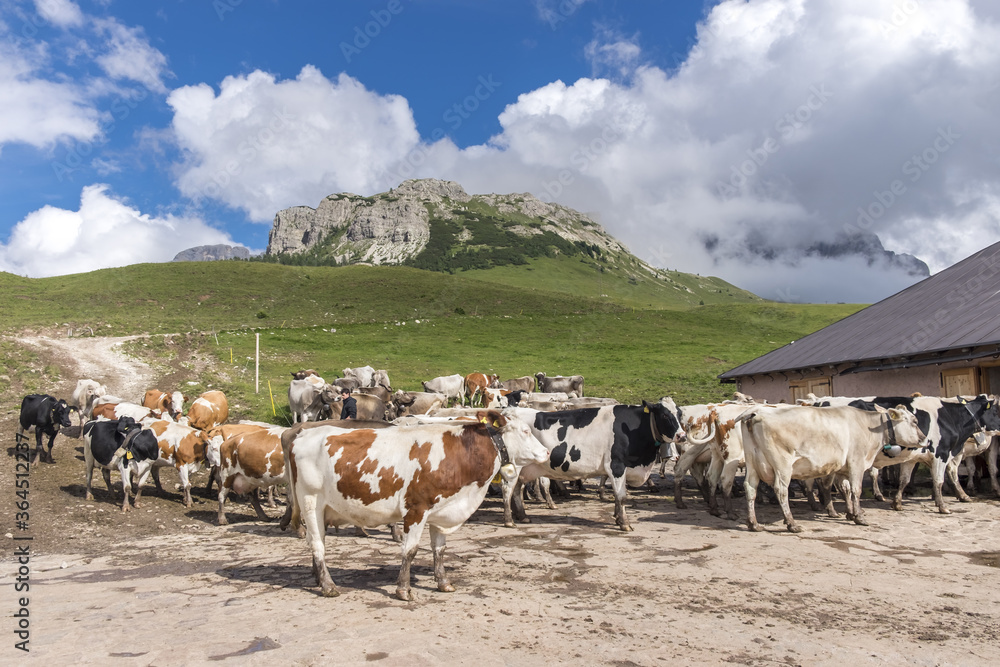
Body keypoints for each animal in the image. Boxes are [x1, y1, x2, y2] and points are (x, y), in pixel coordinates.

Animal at [286, 409, 550, 599]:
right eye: (525, 431)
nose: (547, 452)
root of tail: (302, 434)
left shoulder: (441, 511)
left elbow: (439, 550)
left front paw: (443, 582)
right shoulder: (416, 509)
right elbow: (410, 550)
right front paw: (404, 589)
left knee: (317, 542)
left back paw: (318, 579)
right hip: (311, 502)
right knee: (318, 545)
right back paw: (328, 586)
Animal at [508, 398, 685, 531]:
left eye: (680, 414)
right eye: (664, 415)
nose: (682, 436)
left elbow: (617, 496)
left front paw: (617, 518)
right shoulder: (617, 466)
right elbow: (621, 496)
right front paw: (624, 524)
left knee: (517, 490)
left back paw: (522, 516)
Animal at [739, 404, 925, 532]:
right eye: (914, 421)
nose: (924, 438)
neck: (868, 427)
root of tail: (757, 411)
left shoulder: (842, 469)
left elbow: (845, 490)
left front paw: (849, 513)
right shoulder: (857, 462)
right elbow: (856, 490)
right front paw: (859, 517)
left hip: (753, 463)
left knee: (750, 488)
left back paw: (754, 524)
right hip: (782, 464)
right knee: (781, 490)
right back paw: (792, 523)